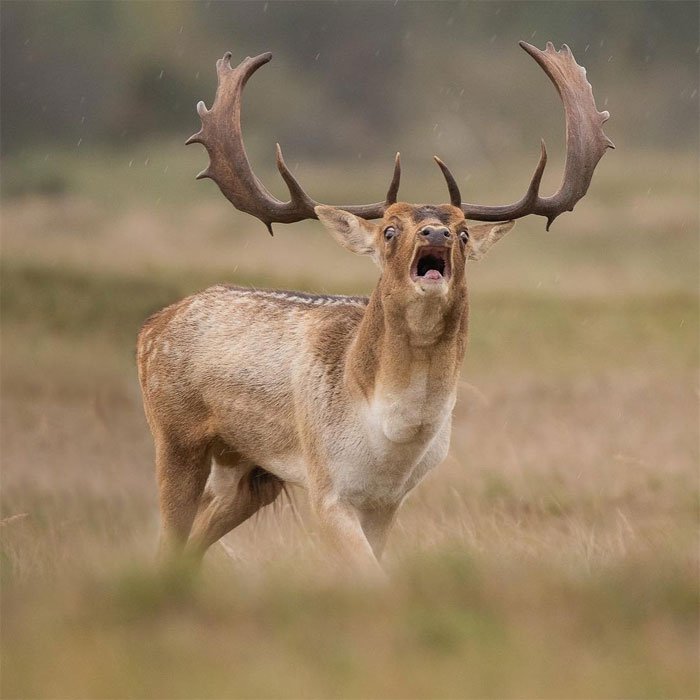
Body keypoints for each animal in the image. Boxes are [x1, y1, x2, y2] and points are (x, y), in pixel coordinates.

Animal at [137, 41, 612, 576]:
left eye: (463, 232)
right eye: (389, 229)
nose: (436, 232)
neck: (390, 438)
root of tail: (150, 327)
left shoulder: (387, 503)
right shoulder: (326, 489)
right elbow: (369, 577)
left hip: (251, 473)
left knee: (190, 542)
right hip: (176, 437)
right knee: (170, 536)